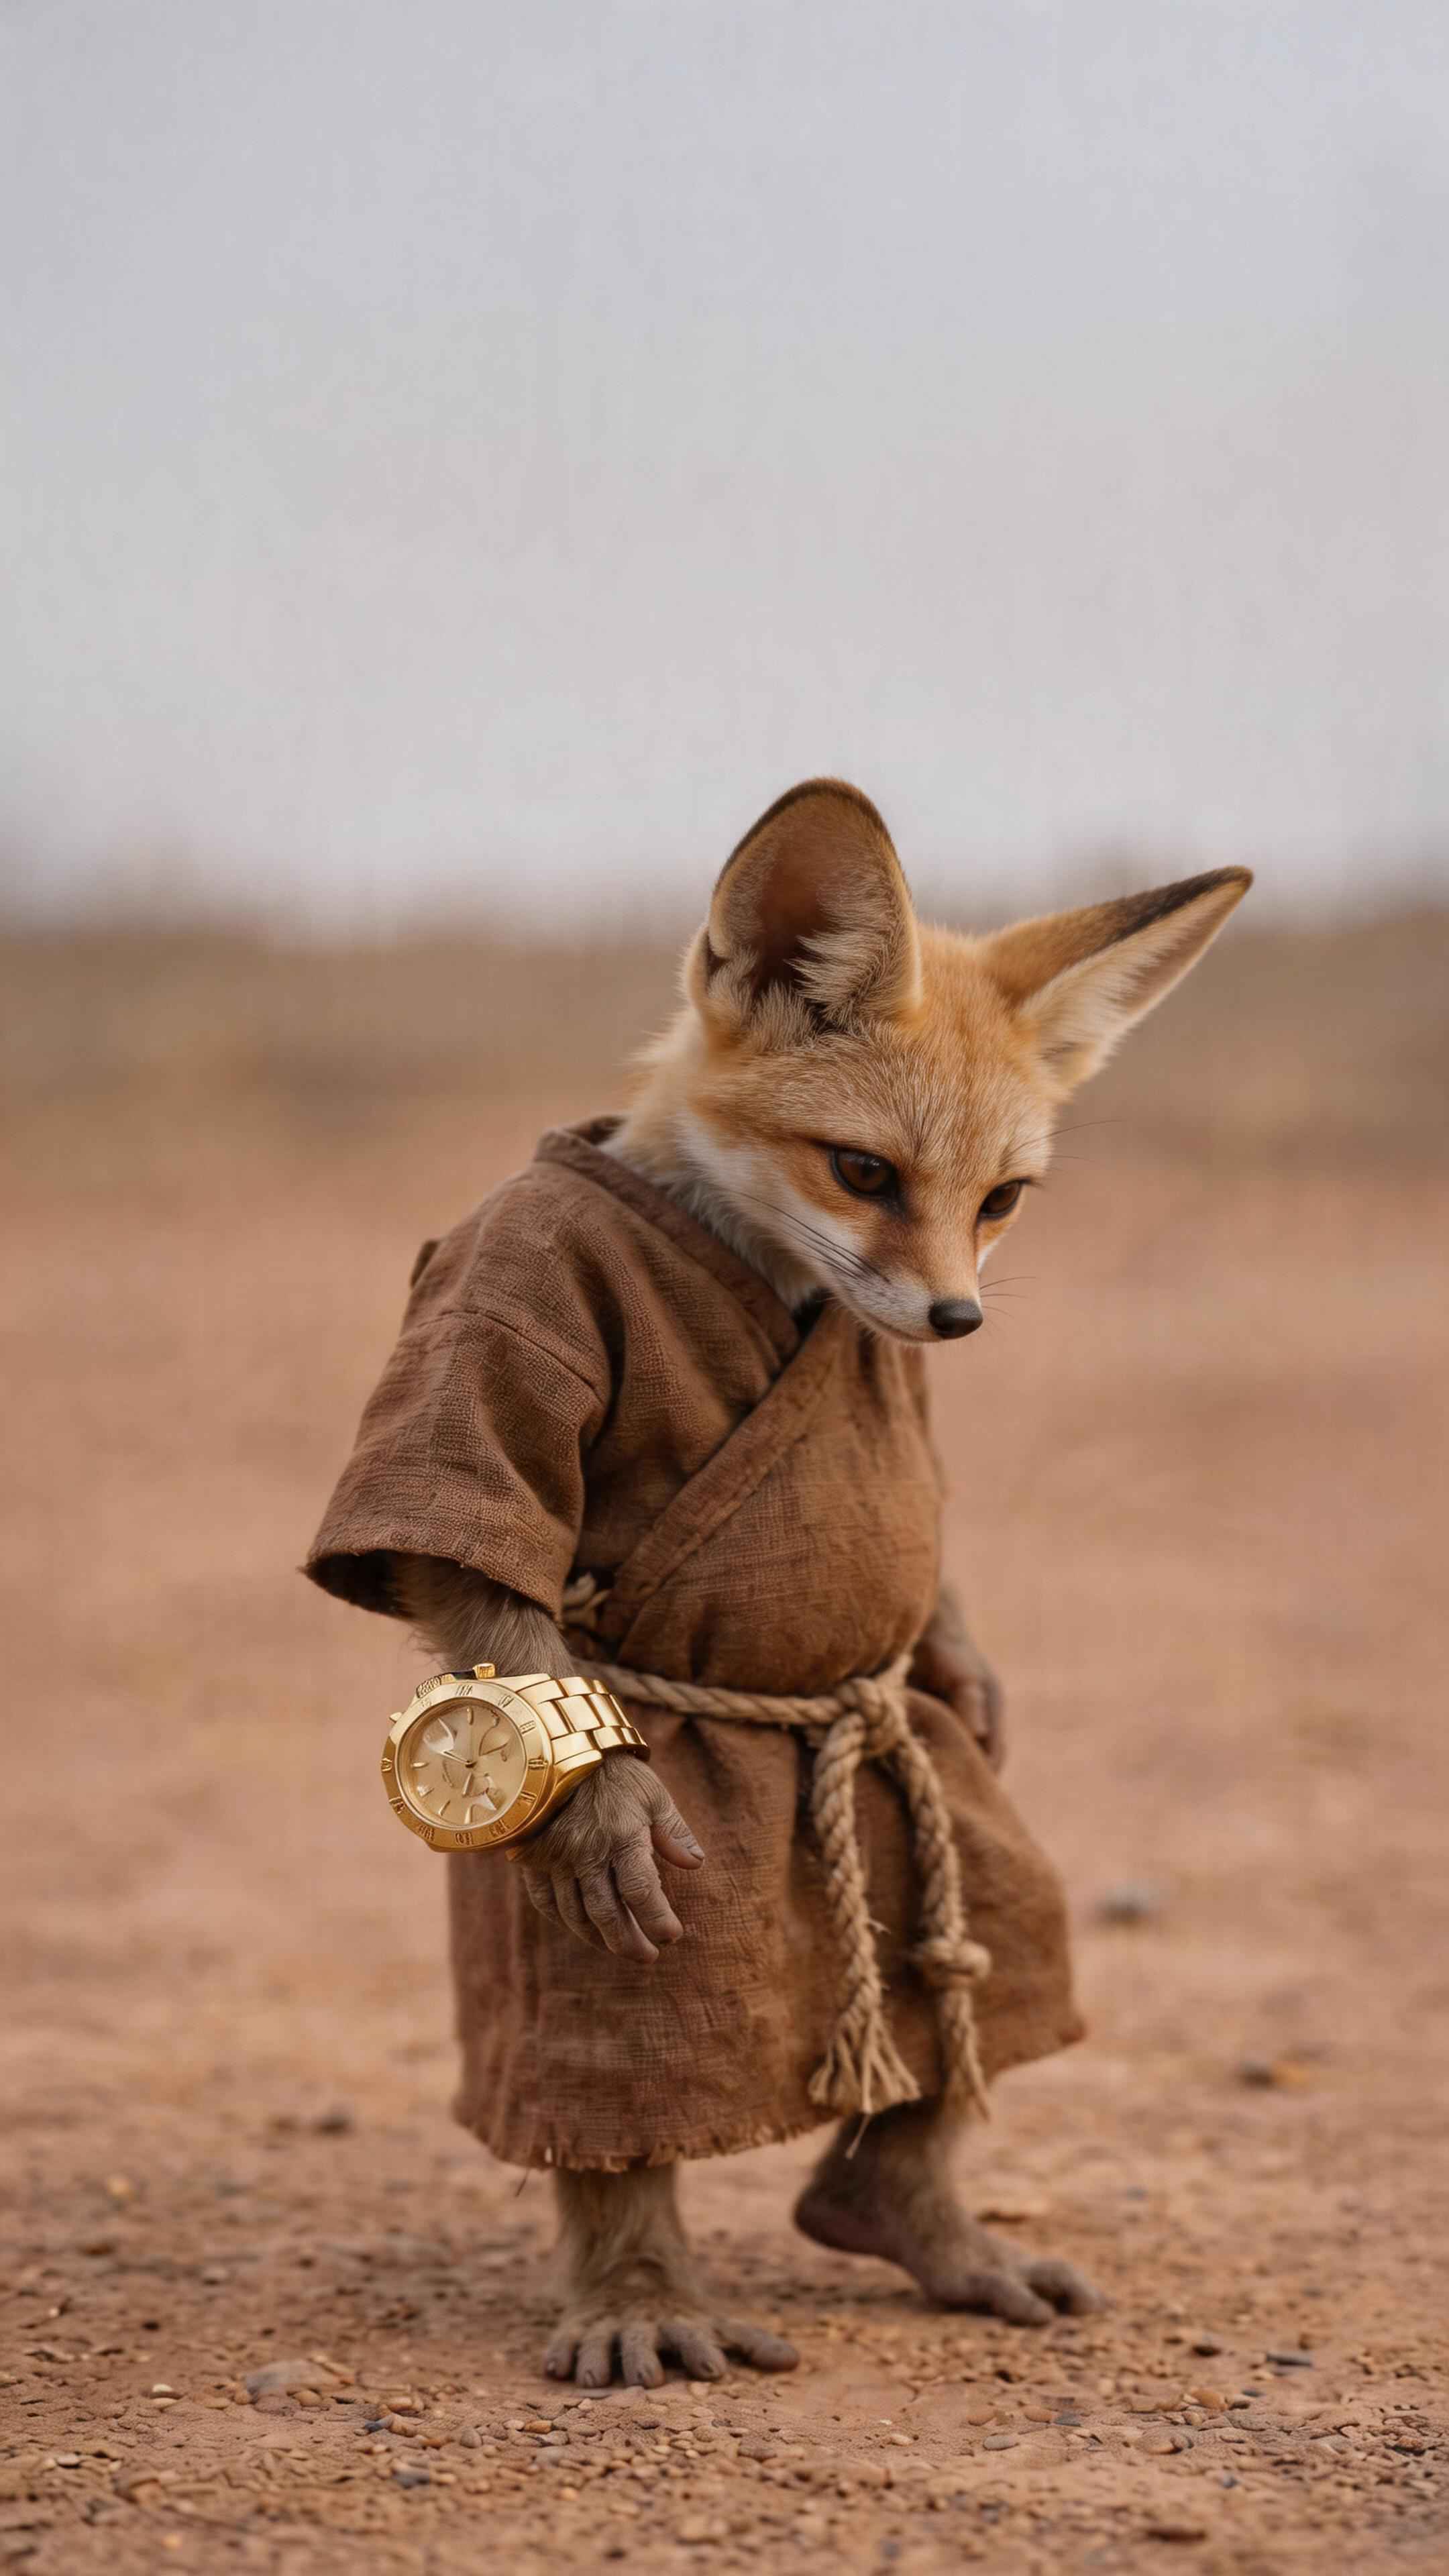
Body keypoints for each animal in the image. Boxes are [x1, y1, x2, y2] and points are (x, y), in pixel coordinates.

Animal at [330, 779, 1251, 2387]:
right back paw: (642, 2302)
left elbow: (932, 1581)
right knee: (623, 2111)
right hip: (636, 1963)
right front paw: (604, 1801)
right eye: (864, 1172)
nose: (954, 1318)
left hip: (966, 1870)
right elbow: (475, 1540)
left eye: (1002, 1200)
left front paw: (970, 1667)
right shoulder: (501, 1298)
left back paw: (919, 2228)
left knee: (955, 2024)